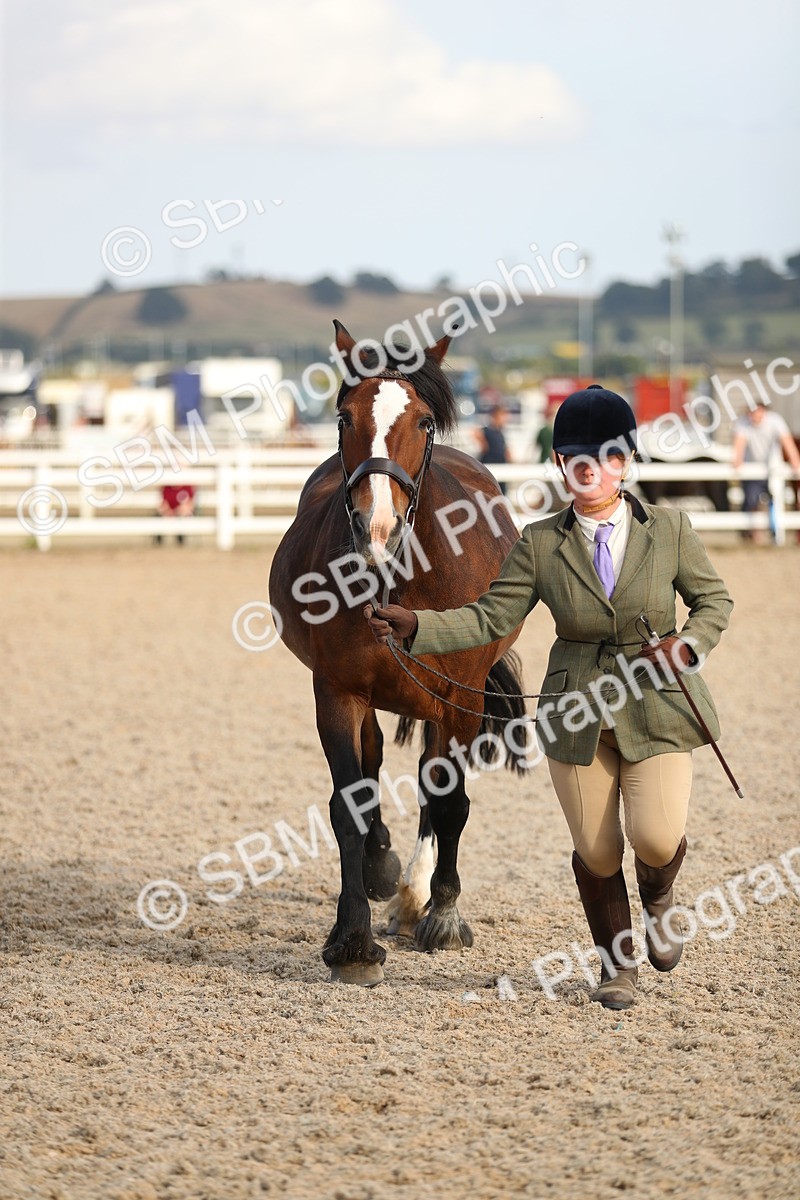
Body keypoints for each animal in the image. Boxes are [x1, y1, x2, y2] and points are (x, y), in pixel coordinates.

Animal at [268, 321, 528, 985]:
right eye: (343, 417)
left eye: (424, 422)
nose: (376, 527)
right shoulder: (337, 691)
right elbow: (349, 805)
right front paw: (352, 939)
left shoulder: (459, 699)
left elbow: (450, 801)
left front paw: (443, 915)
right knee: (376, 760)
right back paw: (385, 872)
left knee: (434, 782)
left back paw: (417, 897)